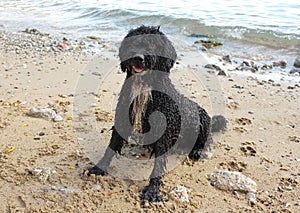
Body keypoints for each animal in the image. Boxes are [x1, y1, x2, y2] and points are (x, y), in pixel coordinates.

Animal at [88, 26, 226, 203]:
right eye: (134, 41)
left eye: (153, 44)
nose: (138, 58)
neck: (145, 87)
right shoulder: (122, 119)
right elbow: (111, 146)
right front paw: (98, 168)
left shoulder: (163, 131)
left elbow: (158, 165)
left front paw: (152, 191)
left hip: (202, 121)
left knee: (206, 139)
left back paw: (196, 151)